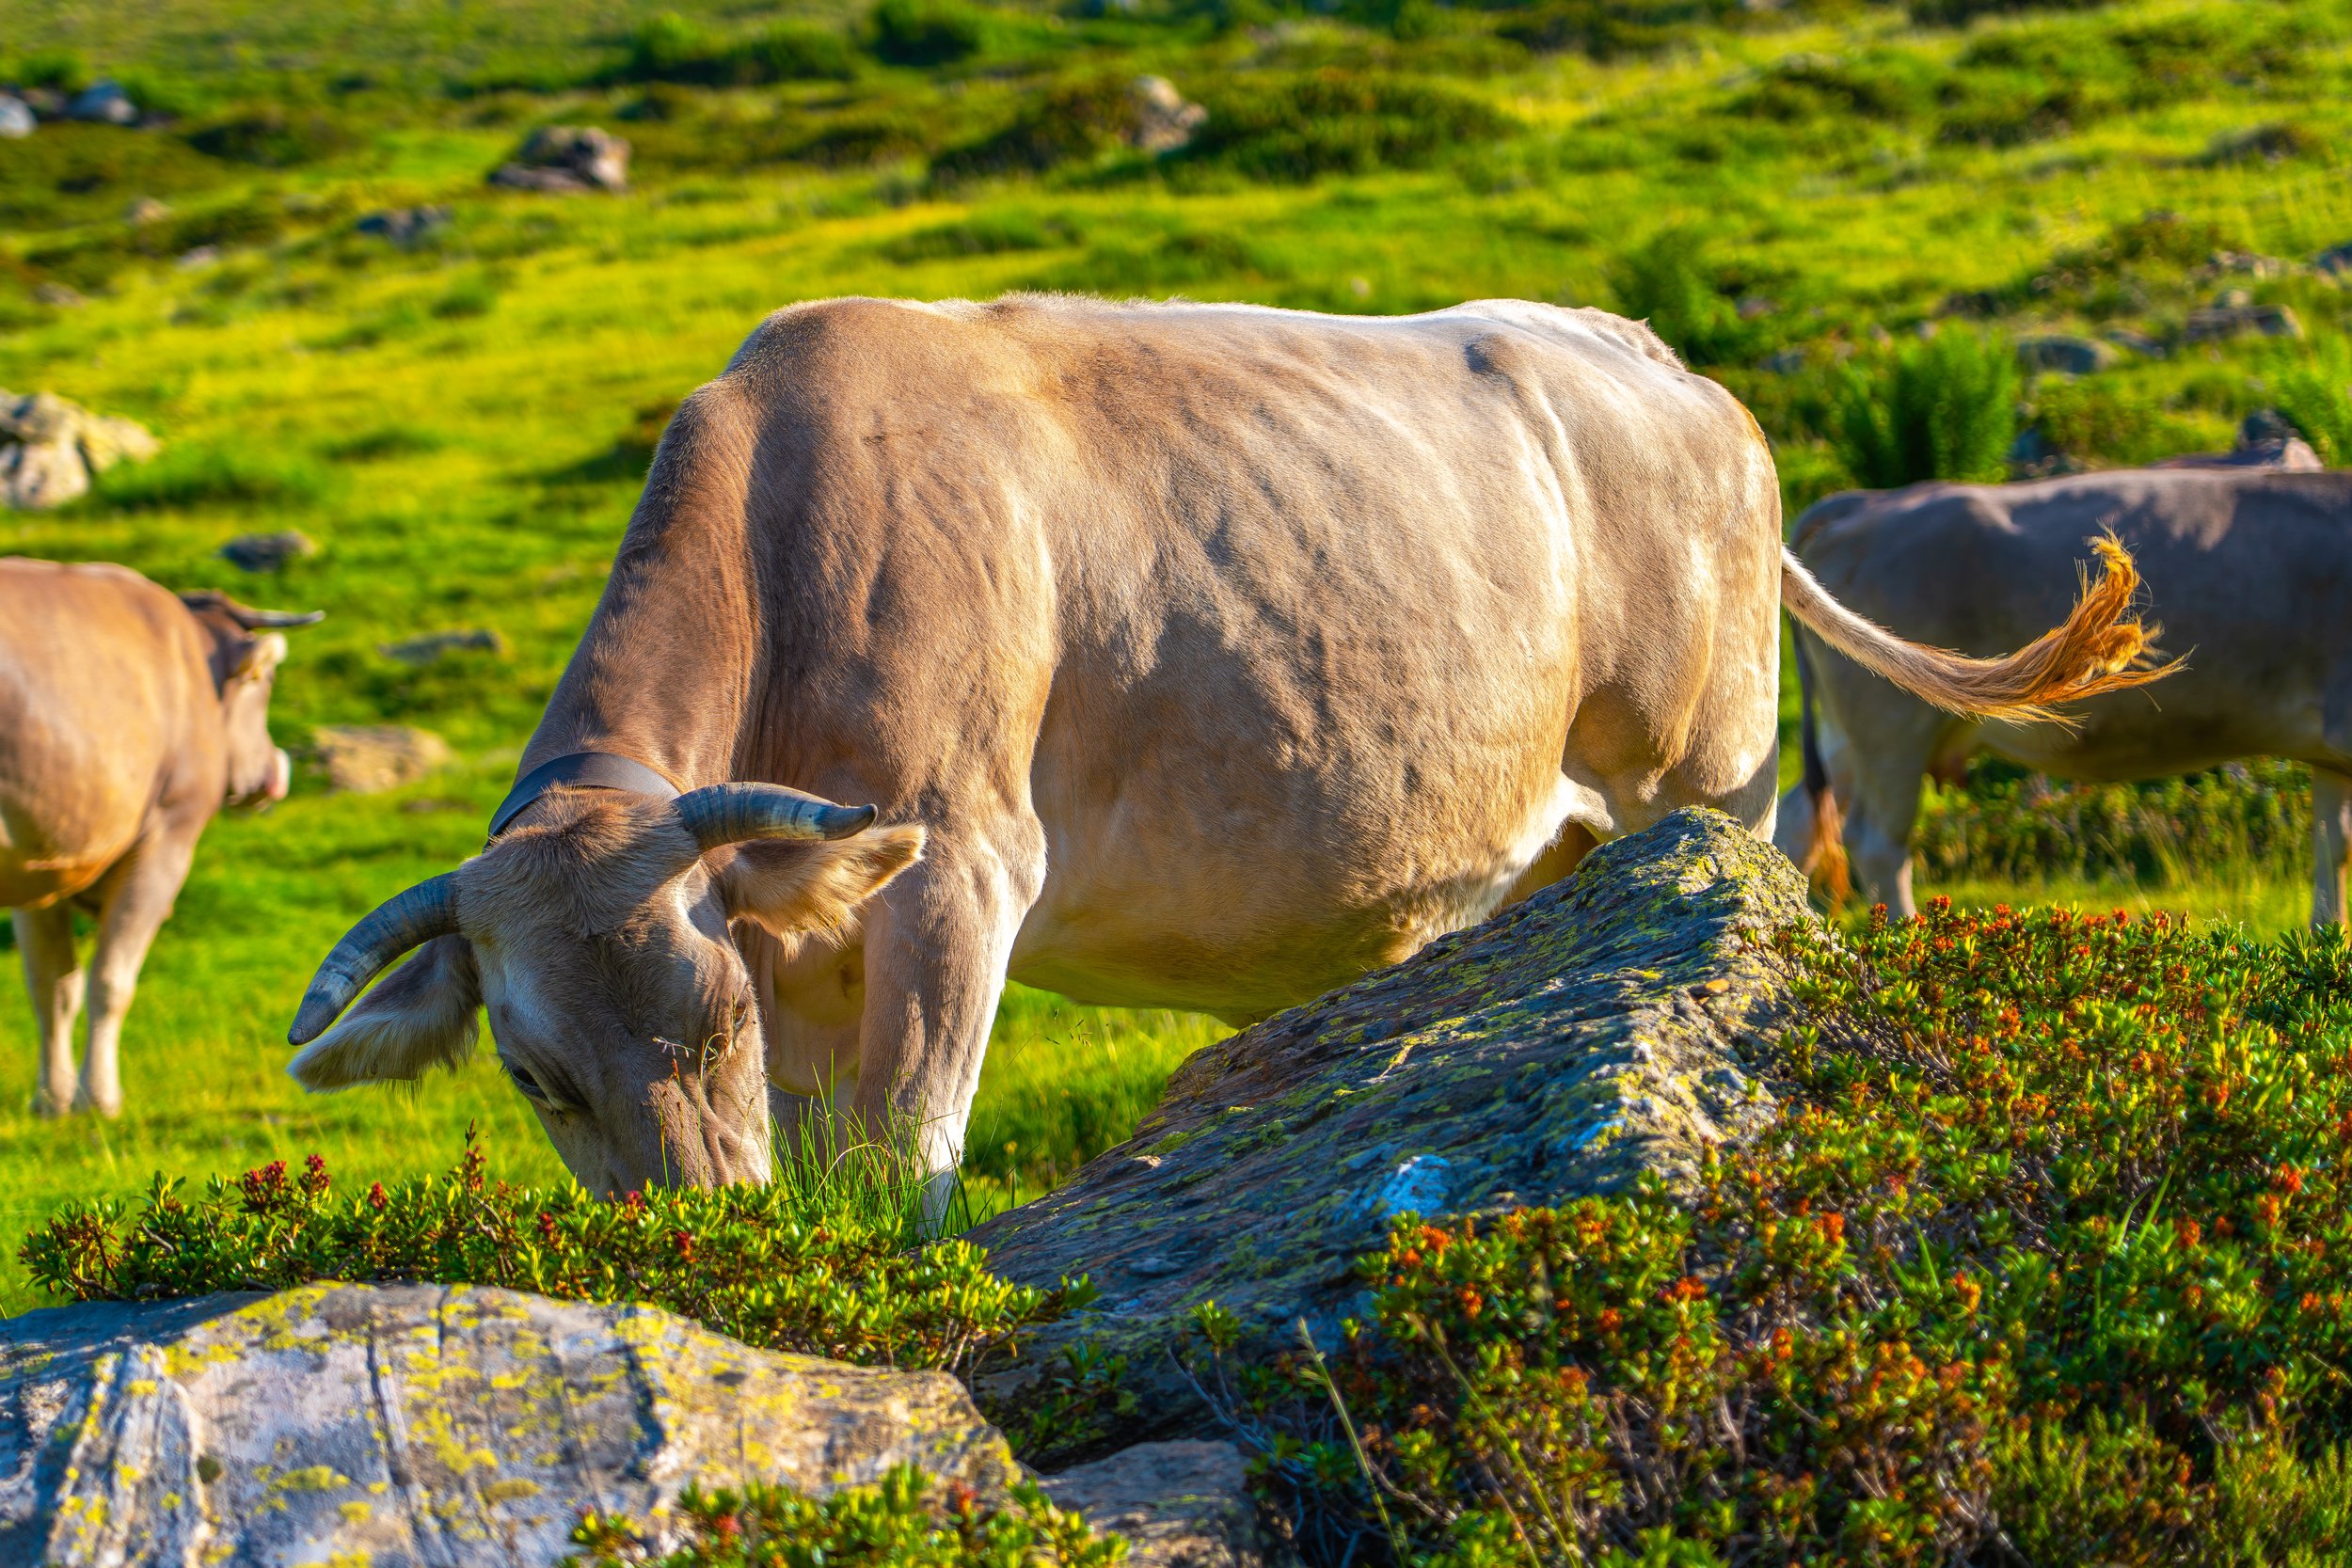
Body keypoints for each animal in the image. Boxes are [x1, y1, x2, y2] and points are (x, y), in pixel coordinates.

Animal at [1, 558, 320, 1116]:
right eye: (266, 681)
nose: (276, 772)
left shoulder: (44, 862)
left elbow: (51, 986)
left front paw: (50, 1101)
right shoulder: (166, 840)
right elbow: (111, 979)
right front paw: (99, 1097)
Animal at [281, 295, 2161, 1202]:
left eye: (711, 1016)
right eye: (534, 1073)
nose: (699, 1239)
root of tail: (1664, 363)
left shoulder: (963, 866)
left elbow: (904, 1170)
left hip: (1714, 789)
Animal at [1776, 466, 2352, 925]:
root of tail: (1867, 501)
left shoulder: (2329, 755)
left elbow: (2333, 844)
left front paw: (2325, 939)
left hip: (1847, 735)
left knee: (1799, 821)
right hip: (1892, 727)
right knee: (1878, 842)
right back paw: (1905, 937)